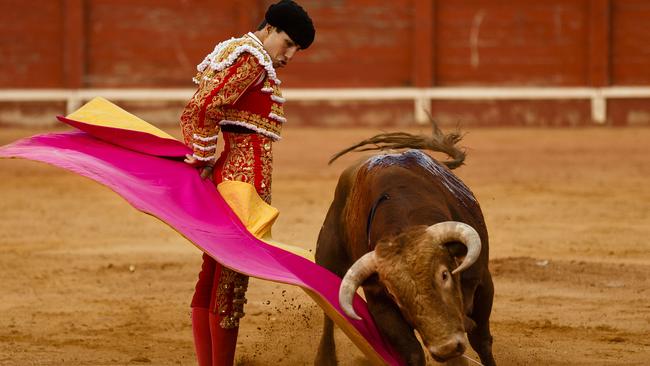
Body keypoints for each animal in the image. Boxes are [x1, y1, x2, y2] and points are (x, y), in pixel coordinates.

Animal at [316, 129, 496, 366]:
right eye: (394, 294)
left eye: (444, 274)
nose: (446, 348)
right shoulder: (380, 304)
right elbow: (413, 353)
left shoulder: (482, 280)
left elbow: (481, 340)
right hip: (328, 259)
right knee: (328, 314)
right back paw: (325, 357)